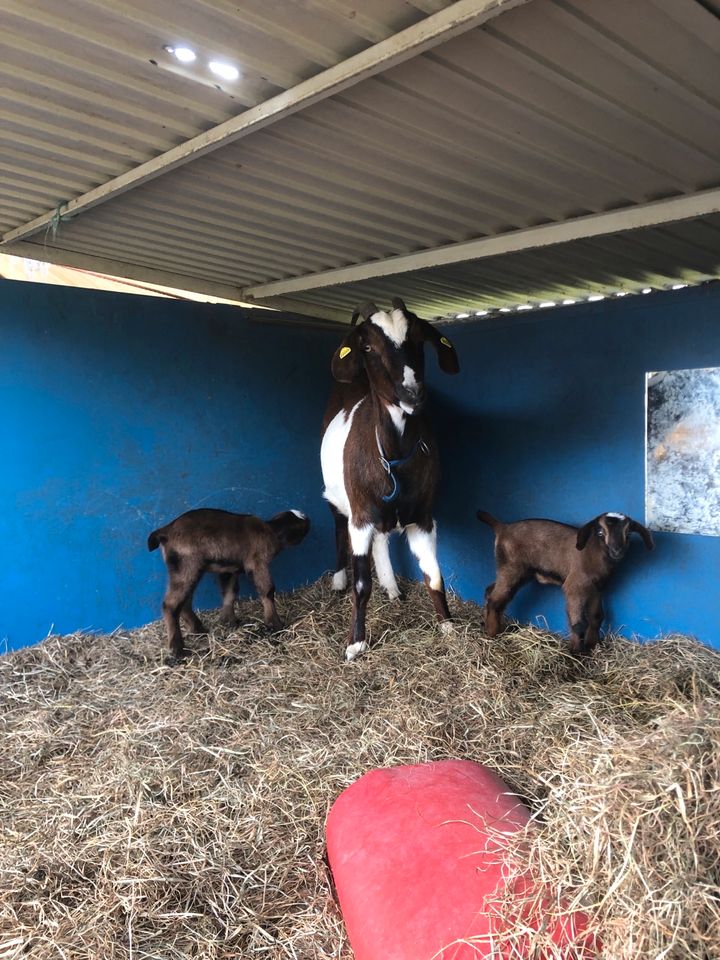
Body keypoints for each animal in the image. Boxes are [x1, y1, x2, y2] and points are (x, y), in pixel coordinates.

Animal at [149, 506, 310, 656]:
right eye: (300, 524)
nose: (308, 519)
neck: (270, 529)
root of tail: (165, 531)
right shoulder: (257, 563)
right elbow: (267, 590)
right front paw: (275, 624)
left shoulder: (229, 569)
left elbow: (229, 592)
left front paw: (229, 621)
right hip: (185, 566)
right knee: (171, 604)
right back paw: (178, 649)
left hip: (190, 570)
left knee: (185, 601)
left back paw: (198, 629)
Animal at [322, 300, 458, 660]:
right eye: (368, 346)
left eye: (419, 338)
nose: (412, 393)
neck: (393, 455)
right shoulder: (360, 516)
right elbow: (361, 584)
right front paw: (355, 644)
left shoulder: (423, 516)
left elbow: (433, 575)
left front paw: (448, 626)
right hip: (339, 499)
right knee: (338, 525)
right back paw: (338, 581)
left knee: (382, 540)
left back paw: (393, 588)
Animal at [478, 510, 652, 652]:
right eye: (600, 532)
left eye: (628, 533)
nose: (617, 551)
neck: (592, 553)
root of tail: (502, 527)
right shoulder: (575, 586)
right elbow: (579, 624)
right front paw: (577, 653)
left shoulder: (596, 589)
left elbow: (596, 616)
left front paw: (592, 645)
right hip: (511, 567)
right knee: (495, 600)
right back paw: (492, 634)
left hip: (521, 573)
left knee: (491, 592)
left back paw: (489, 624)